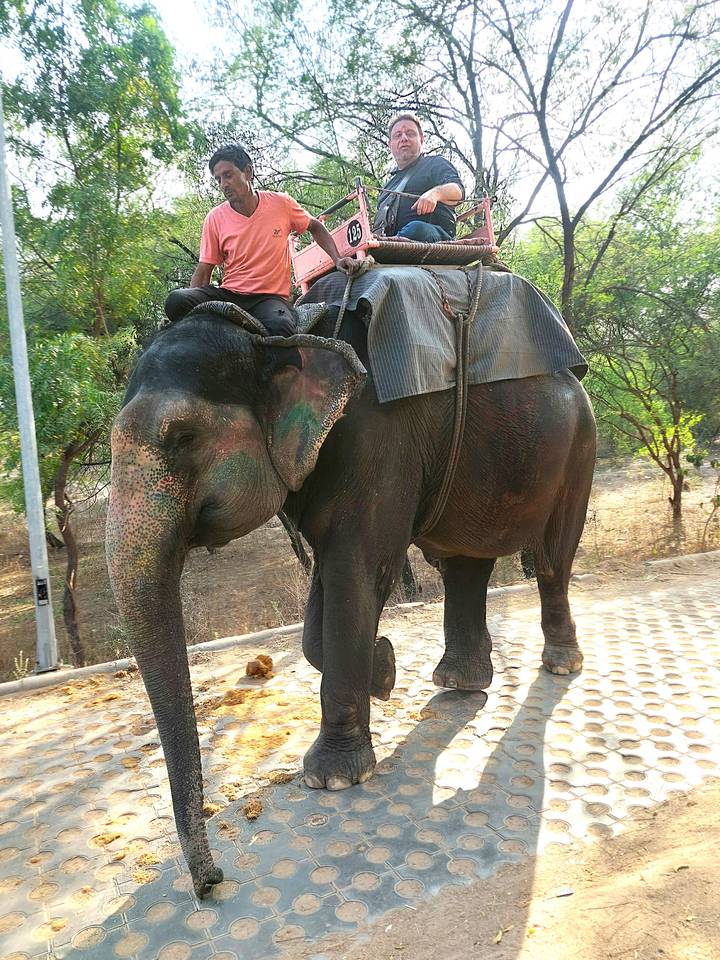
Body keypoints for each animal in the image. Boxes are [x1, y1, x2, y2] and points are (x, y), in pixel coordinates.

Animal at [106, 304, 596, 897]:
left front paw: (333, 777)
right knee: (465, 560)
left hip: (579, 446)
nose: (214, 883)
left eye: (182, 436)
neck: (279, 339)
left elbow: (355, 570)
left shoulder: (377, 444)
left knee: (551, 557)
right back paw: (460, 681)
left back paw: (561, 663)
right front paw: (382, 671)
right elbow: (324, 595)